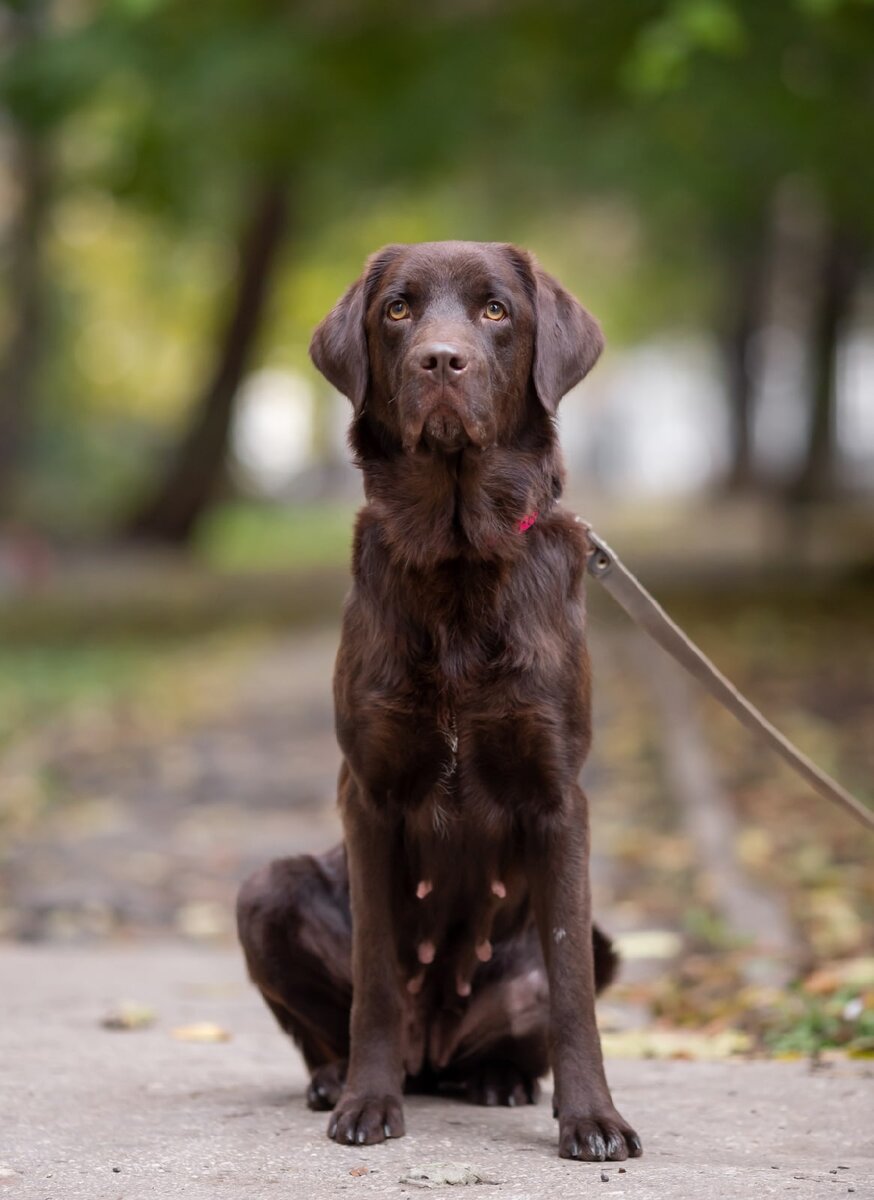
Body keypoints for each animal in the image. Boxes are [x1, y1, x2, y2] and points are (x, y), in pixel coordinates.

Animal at [237, 238, 643, 1156]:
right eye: (398, 309)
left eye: (496, 310)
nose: (441, 360)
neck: (459, 556)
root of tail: (438, 1053)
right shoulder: (369, 793)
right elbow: (378, 978)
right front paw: (366, 1102)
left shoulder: (560, 796)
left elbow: (571, 985)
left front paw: (593, 1118)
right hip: (267, 887)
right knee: (333, 1021)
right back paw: (337, 1079)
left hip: (600, 942)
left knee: (541, 1006)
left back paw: (499, 1080)